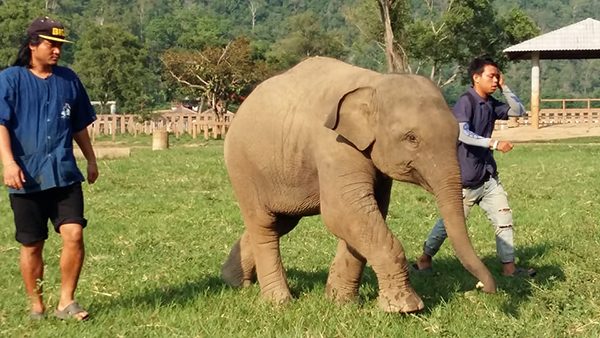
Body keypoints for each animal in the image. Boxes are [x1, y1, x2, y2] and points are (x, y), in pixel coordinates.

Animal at [220, 56, 492, 312]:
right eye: (411, 138)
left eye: (456, 137)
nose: (483, 289)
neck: (374, 81)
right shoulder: (334, 144)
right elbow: (344, 212)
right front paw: (404, 308)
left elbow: (368, 212)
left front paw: (341, 302)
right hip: (243, 168)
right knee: (264, 225)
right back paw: (279, 301)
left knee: (282, 222)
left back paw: (236, 282)